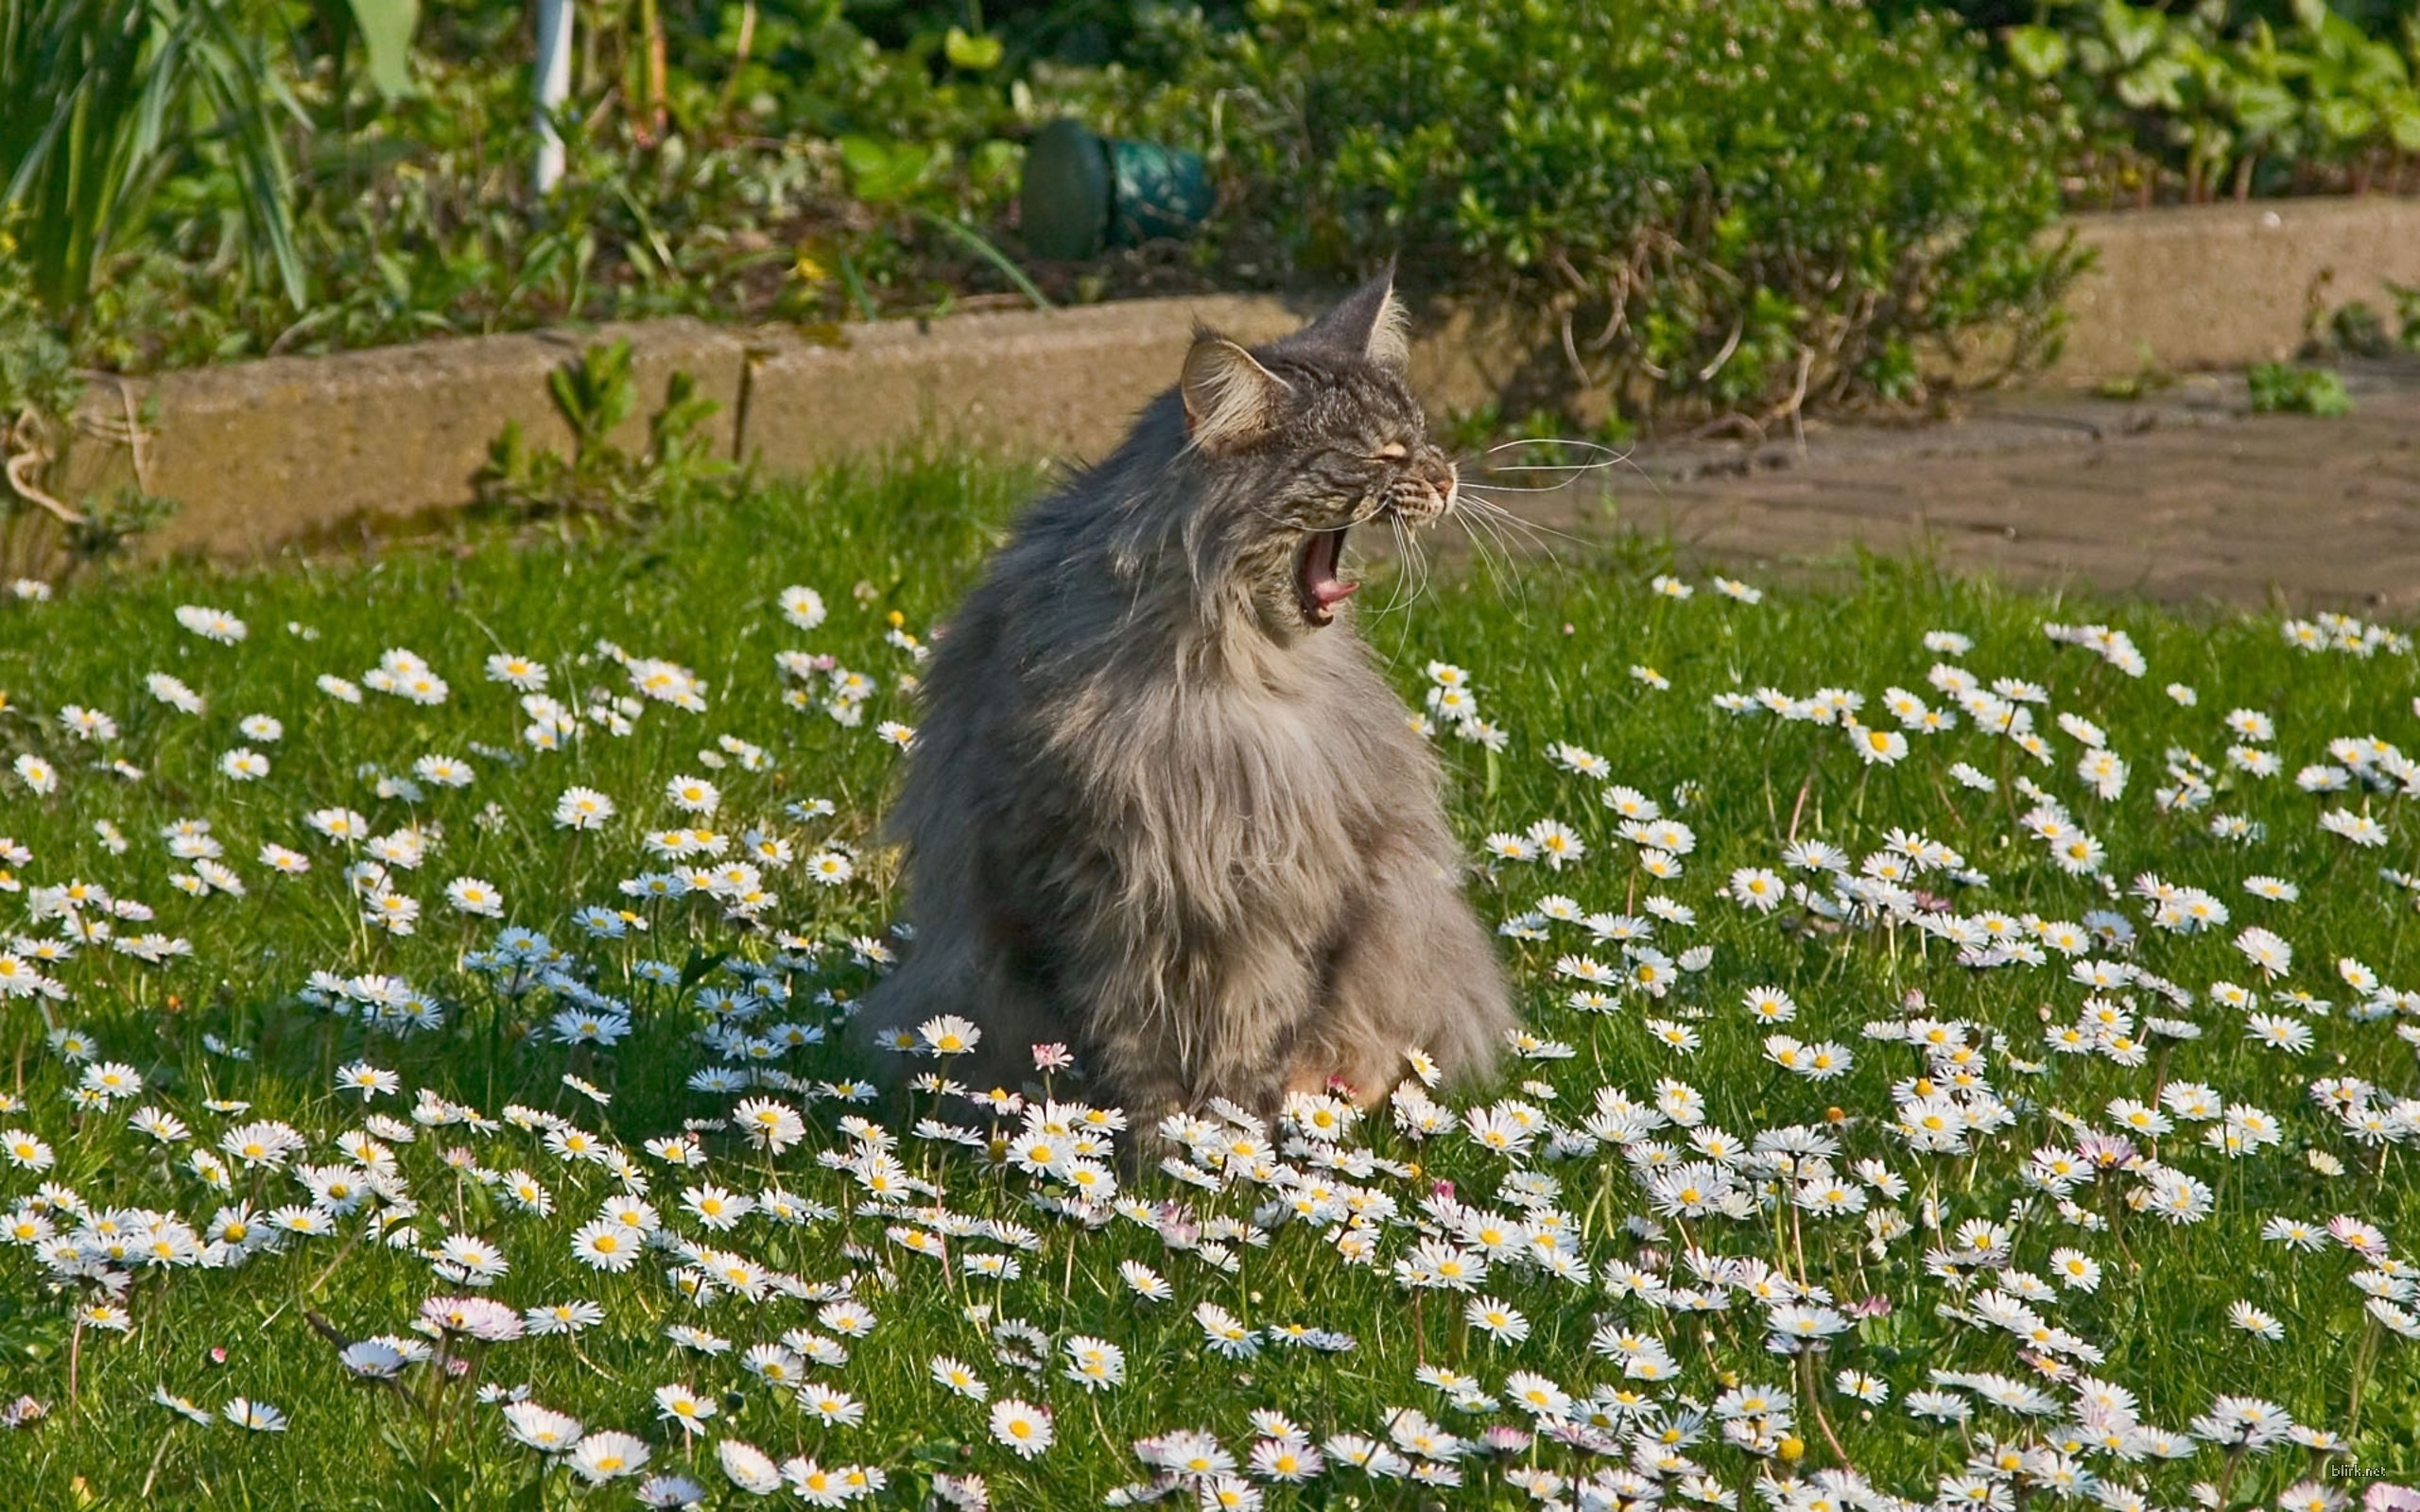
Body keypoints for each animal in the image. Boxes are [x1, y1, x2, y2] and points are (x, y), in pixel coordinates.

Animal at [852, 270, 1510, 1126]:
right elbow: (1127, 1045)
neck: (1206, 688)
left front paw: (1236, 1137)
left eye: (1425, 438)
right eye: (1385, 452)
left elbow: (1259, 1031)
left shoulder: (1285, 884)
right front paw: (1160, 1140)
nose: (1448, 476)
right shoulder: (1089, 879)